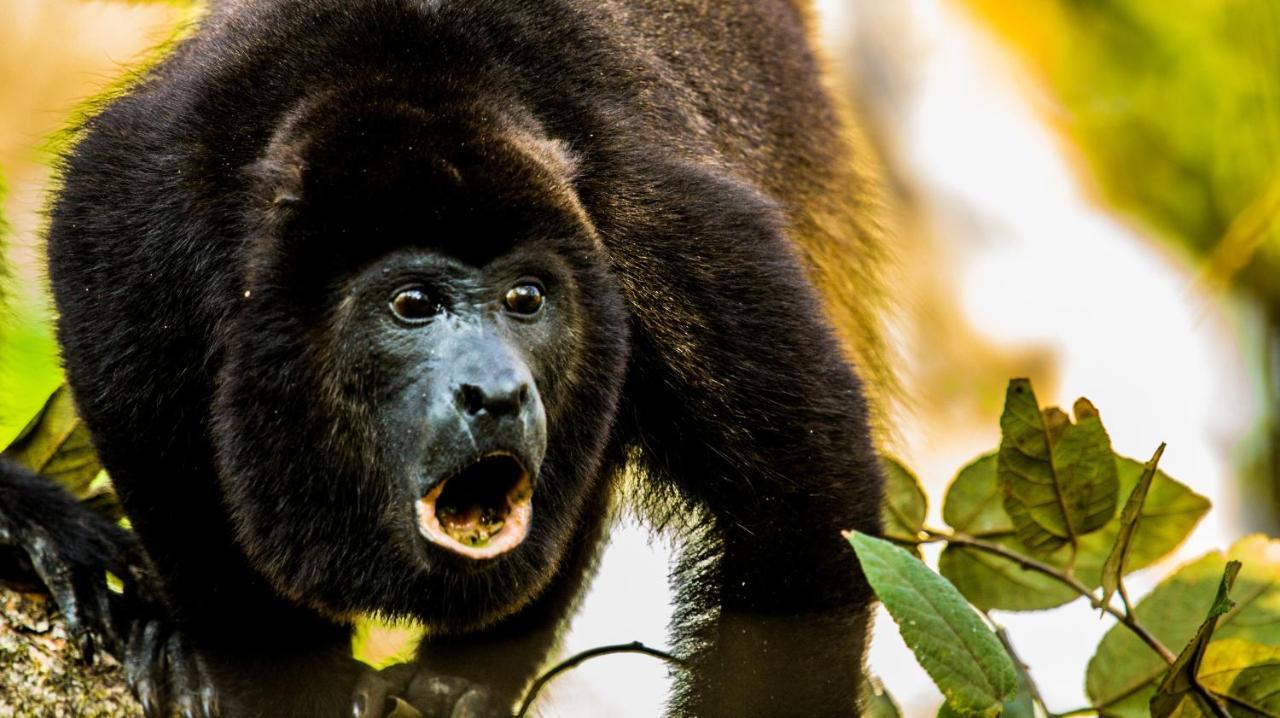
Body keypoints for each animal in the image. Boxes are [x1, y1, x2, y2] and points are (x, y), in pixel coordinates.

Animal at [2, 0, 890, 711]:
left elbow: (807, 514)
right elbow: (156, 441)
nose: (497, 390)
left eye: (525, 298)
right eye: (413, 305)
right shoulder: (139, 209)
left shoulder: (672, 236)